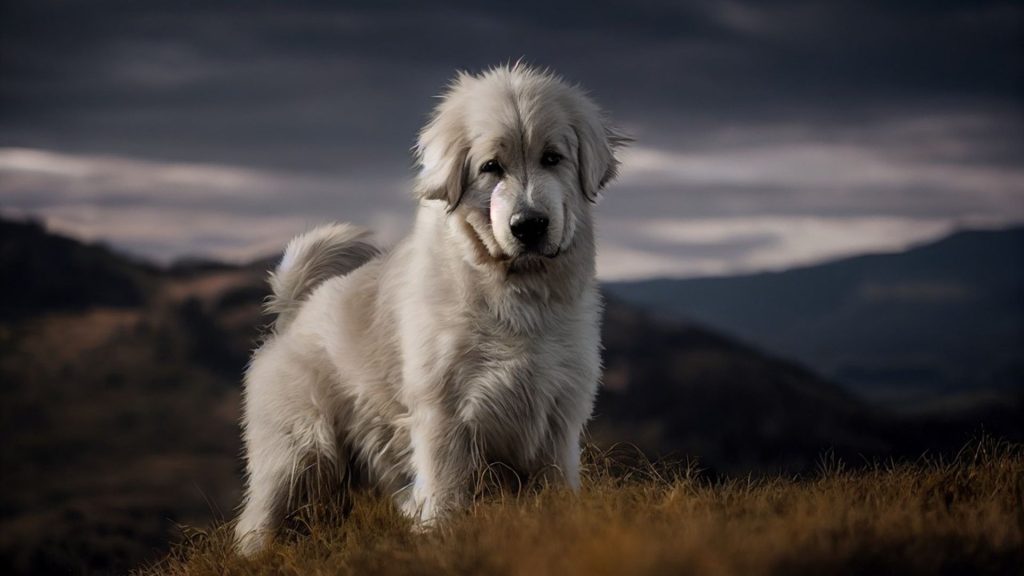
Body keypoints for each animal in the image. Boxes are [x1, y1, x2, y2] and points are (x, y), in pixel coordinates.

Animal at [235, 62, 626, 553]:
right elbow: (447, 497)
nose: (529, 225)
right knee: (257, 524)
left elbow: (555, 494)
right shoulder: (446, 417)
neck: (517, 298)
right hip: (299, 456)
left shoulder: (557, 419)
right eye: (491, 167)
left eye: (552, 158)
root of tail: (294, 314)